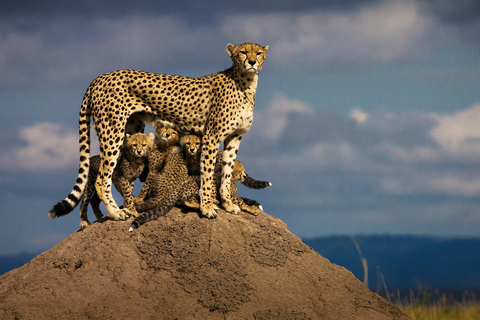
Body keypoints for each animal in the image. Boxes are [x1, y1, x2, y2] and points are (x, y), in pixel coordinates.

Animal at [51, 42, 272, 220]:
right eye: (243, 52)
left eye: (259, 52)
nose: (252, 62)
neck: (246, 83)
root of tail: (99, 77)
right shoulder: (211, 136)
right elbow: (208, 173)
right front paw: (207, 206)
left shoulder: (234, 137)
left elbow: (226, 171)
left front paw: (228, 203)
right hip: (112, 132)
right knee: (102, 178)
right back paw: (116, 212)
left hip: (132, 130)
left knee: (121, 175)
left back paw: (131, 206)